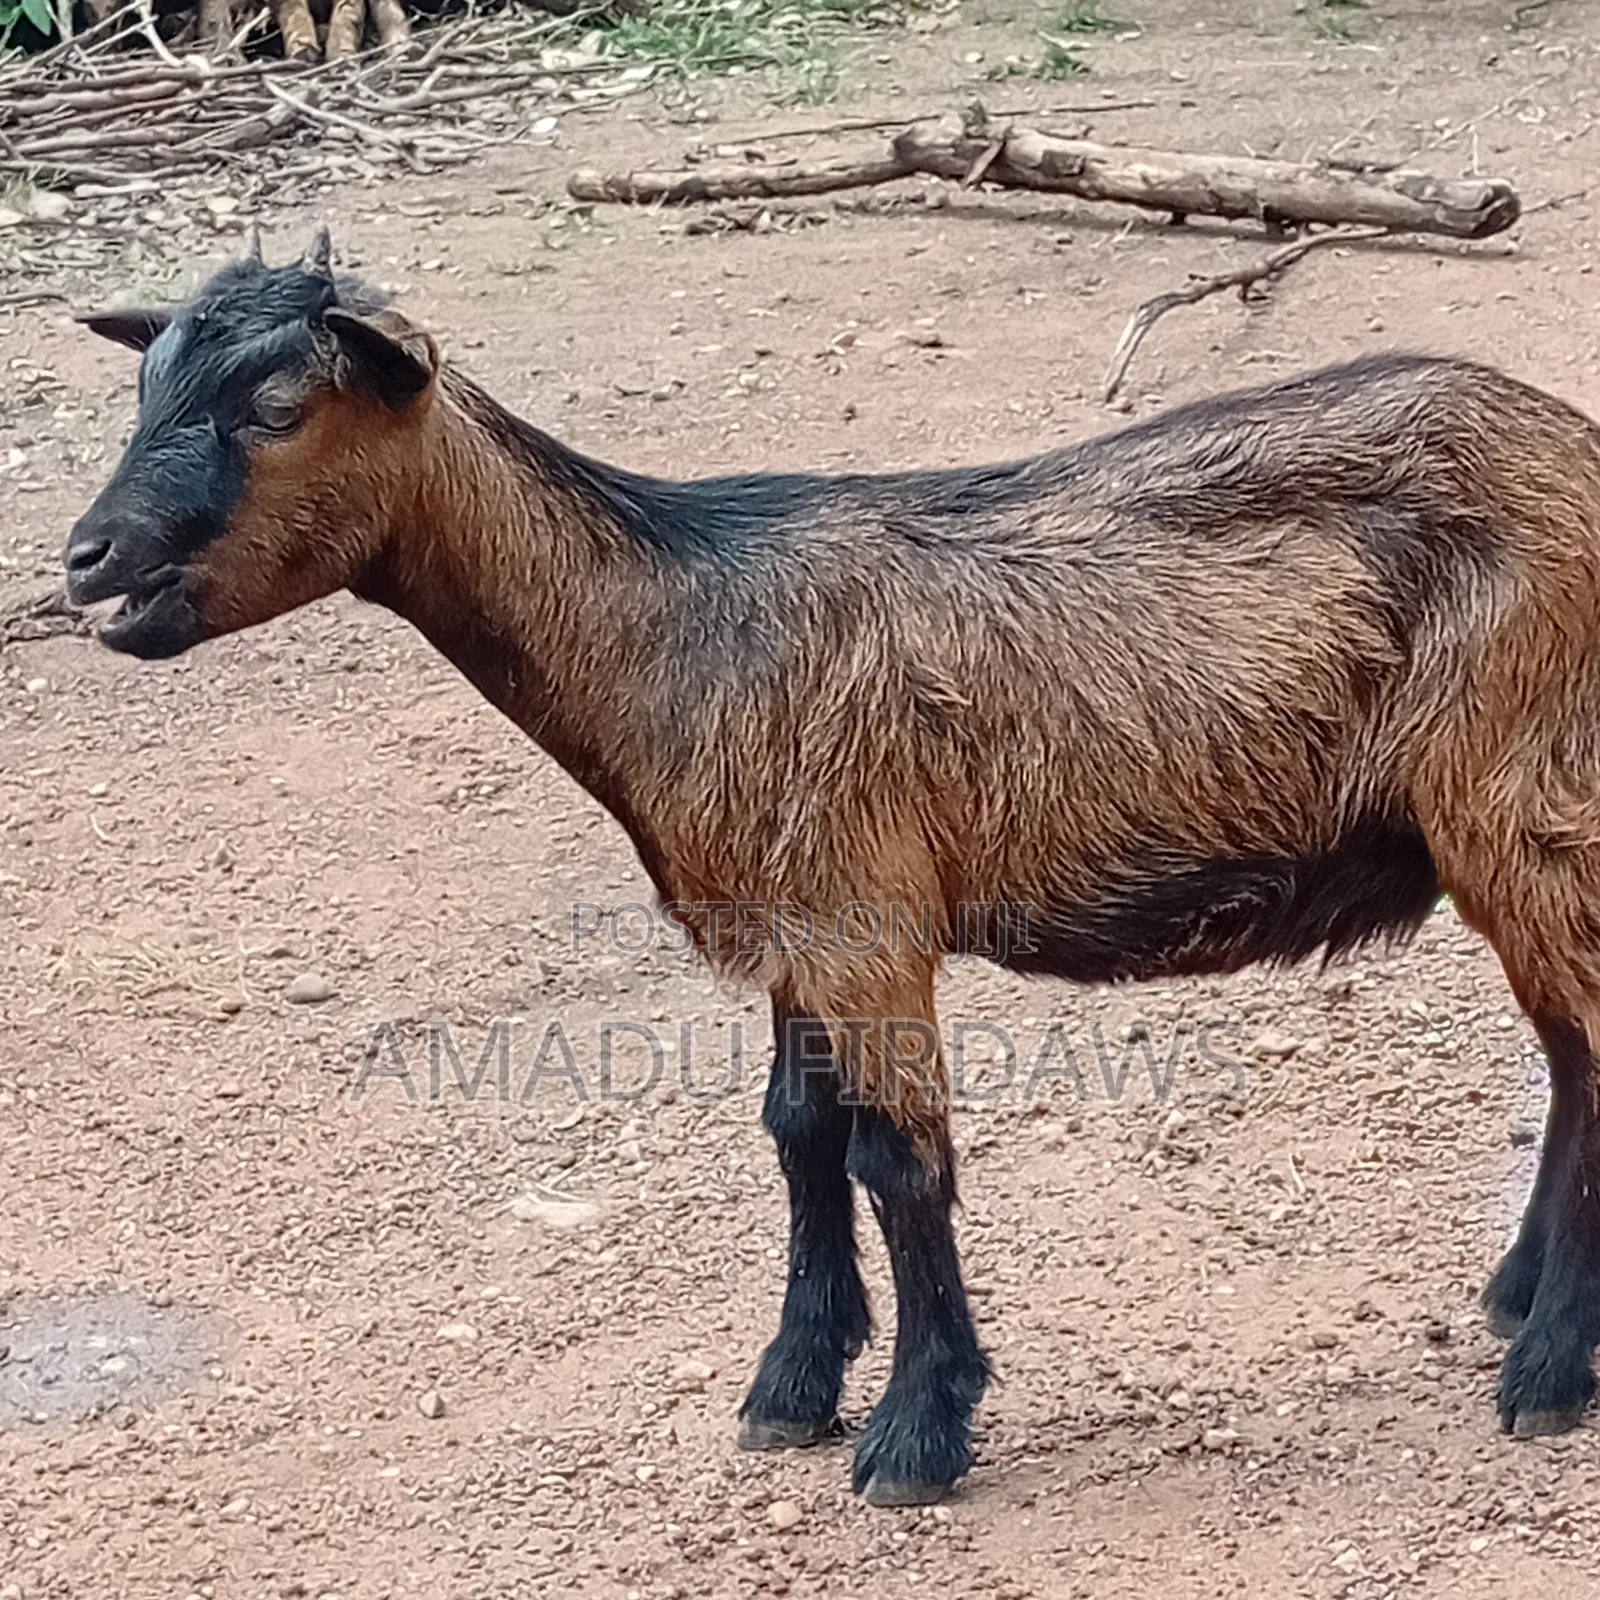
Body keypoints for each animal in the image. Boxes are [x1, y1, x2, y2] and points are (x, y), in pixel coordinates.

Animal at [63, 226, 1600, 1505]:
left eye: (278, 408)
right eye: (143, 388)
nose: (87, 558)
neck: (676, 620)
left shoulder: (867, 919)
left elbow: (897, 1160)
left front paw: (917, 1432)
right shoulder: (788, 925)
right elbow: (797, 1137)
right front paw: (793, 1386)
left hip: (1518, 791)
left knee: (1583, 1042)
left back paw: (1547, 1365)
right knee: (1566, 1051)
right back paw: (1523, 1299)